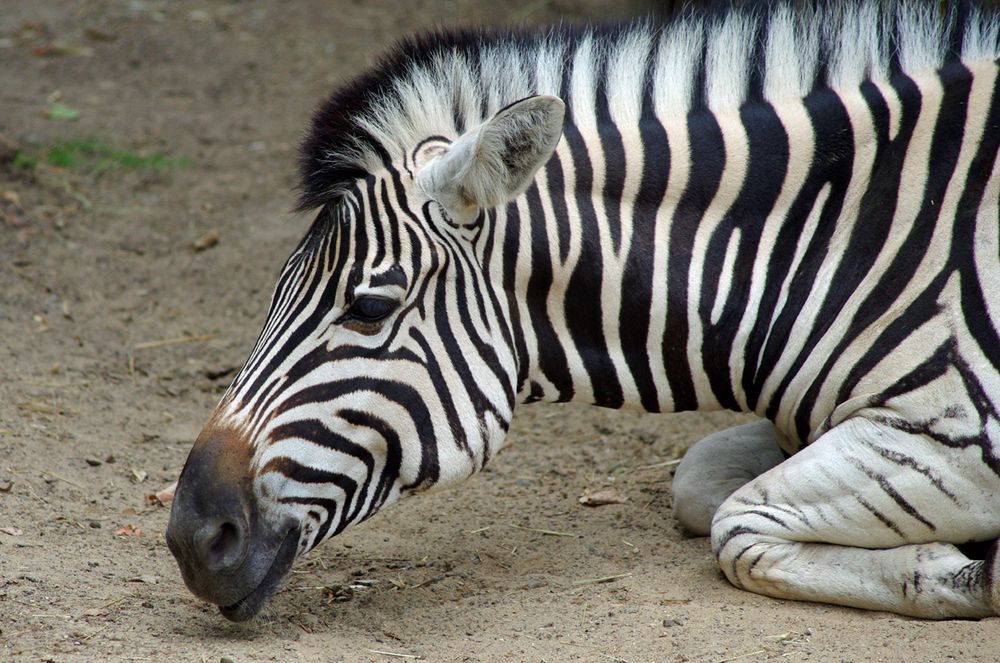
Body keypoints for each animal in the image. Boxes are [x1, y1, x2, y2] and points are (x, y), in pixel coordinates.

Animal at [164, 0, 1000, 624]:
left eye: (369, 305)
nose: (190, 537)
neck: (827, 240)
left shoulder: (955, 431)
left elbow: (736, 526)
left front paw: (969, 569)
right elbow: (700, 483)